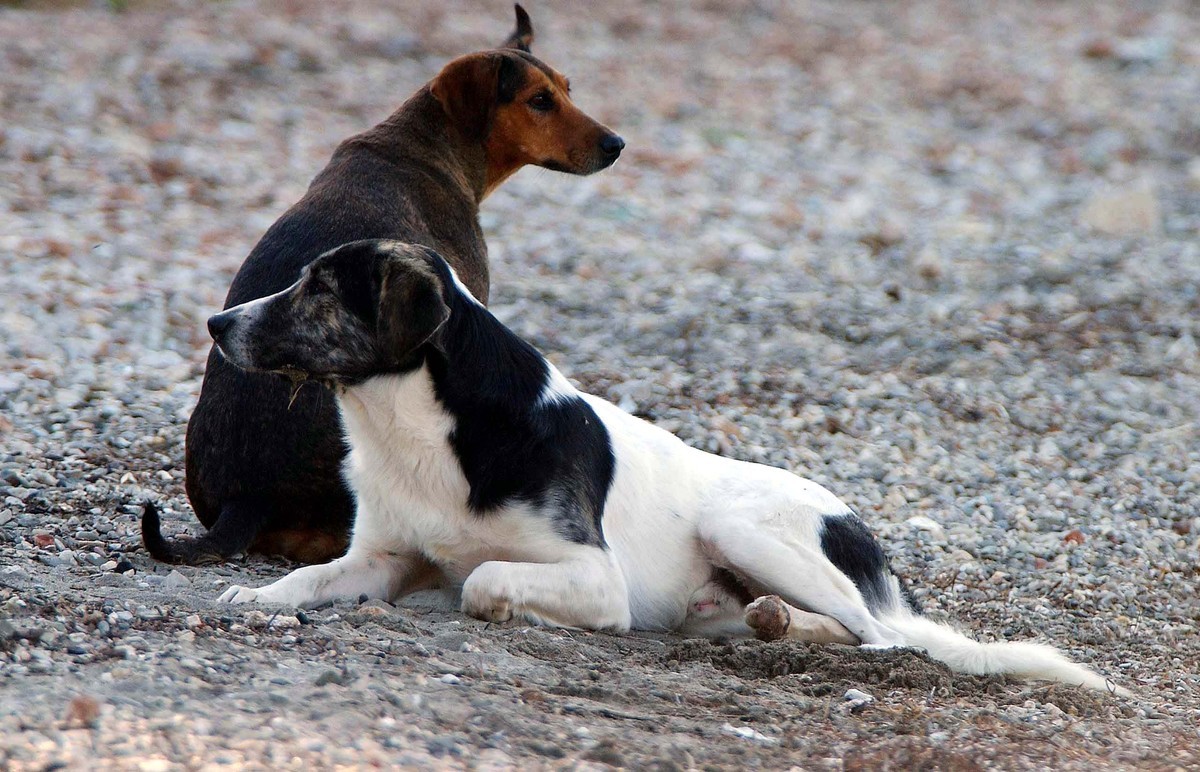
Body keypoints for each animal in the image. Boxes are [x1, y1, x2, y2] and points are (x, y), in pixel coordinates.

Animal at [208, 240, 1123, 696]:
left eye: (322, 288)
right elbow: (311, 578)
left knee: (883, 636)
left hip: (741, 525)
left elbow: (485, 580)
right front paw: (259, 595)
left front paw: (509, 610)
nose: (217, 323)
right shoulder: (380, 555)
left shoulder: (595, 575)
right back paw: (773, 626)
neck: (418, 422)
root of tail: (857, 528)